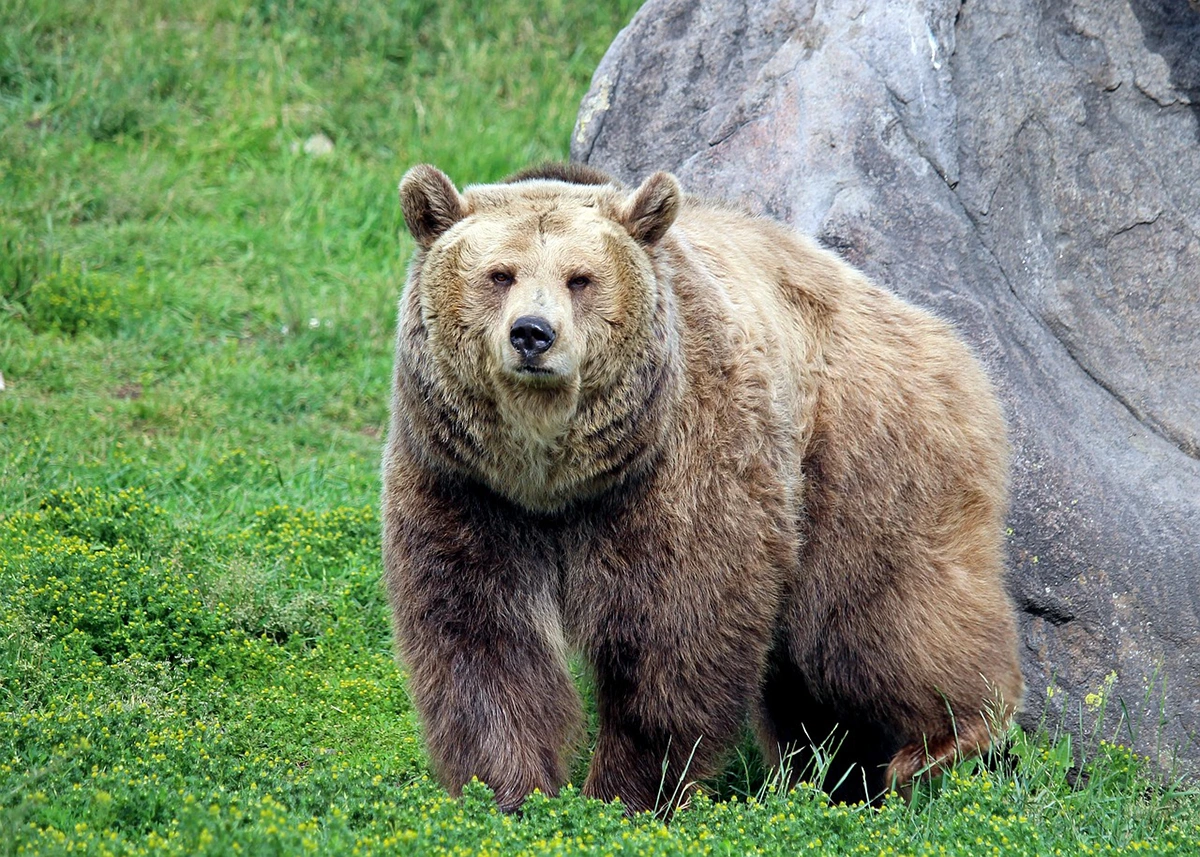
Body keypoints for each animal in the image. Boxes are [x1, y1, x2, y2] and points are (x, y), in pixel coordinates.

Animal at [382, 162, 1024, 814]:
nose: (532, 334)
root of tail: (942, 334)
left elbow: (678, 630)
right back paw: (837, 776)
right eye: (500, 274)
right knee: (807, 678)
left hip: (863, 453)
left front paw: (630, 793)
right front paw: (509, 793)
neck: (554, 479)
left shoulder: (679, 466)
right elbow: (481, 640)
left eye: (580, 278)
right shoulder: (465, 487)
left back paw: (946, 741)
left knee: (876, 618)